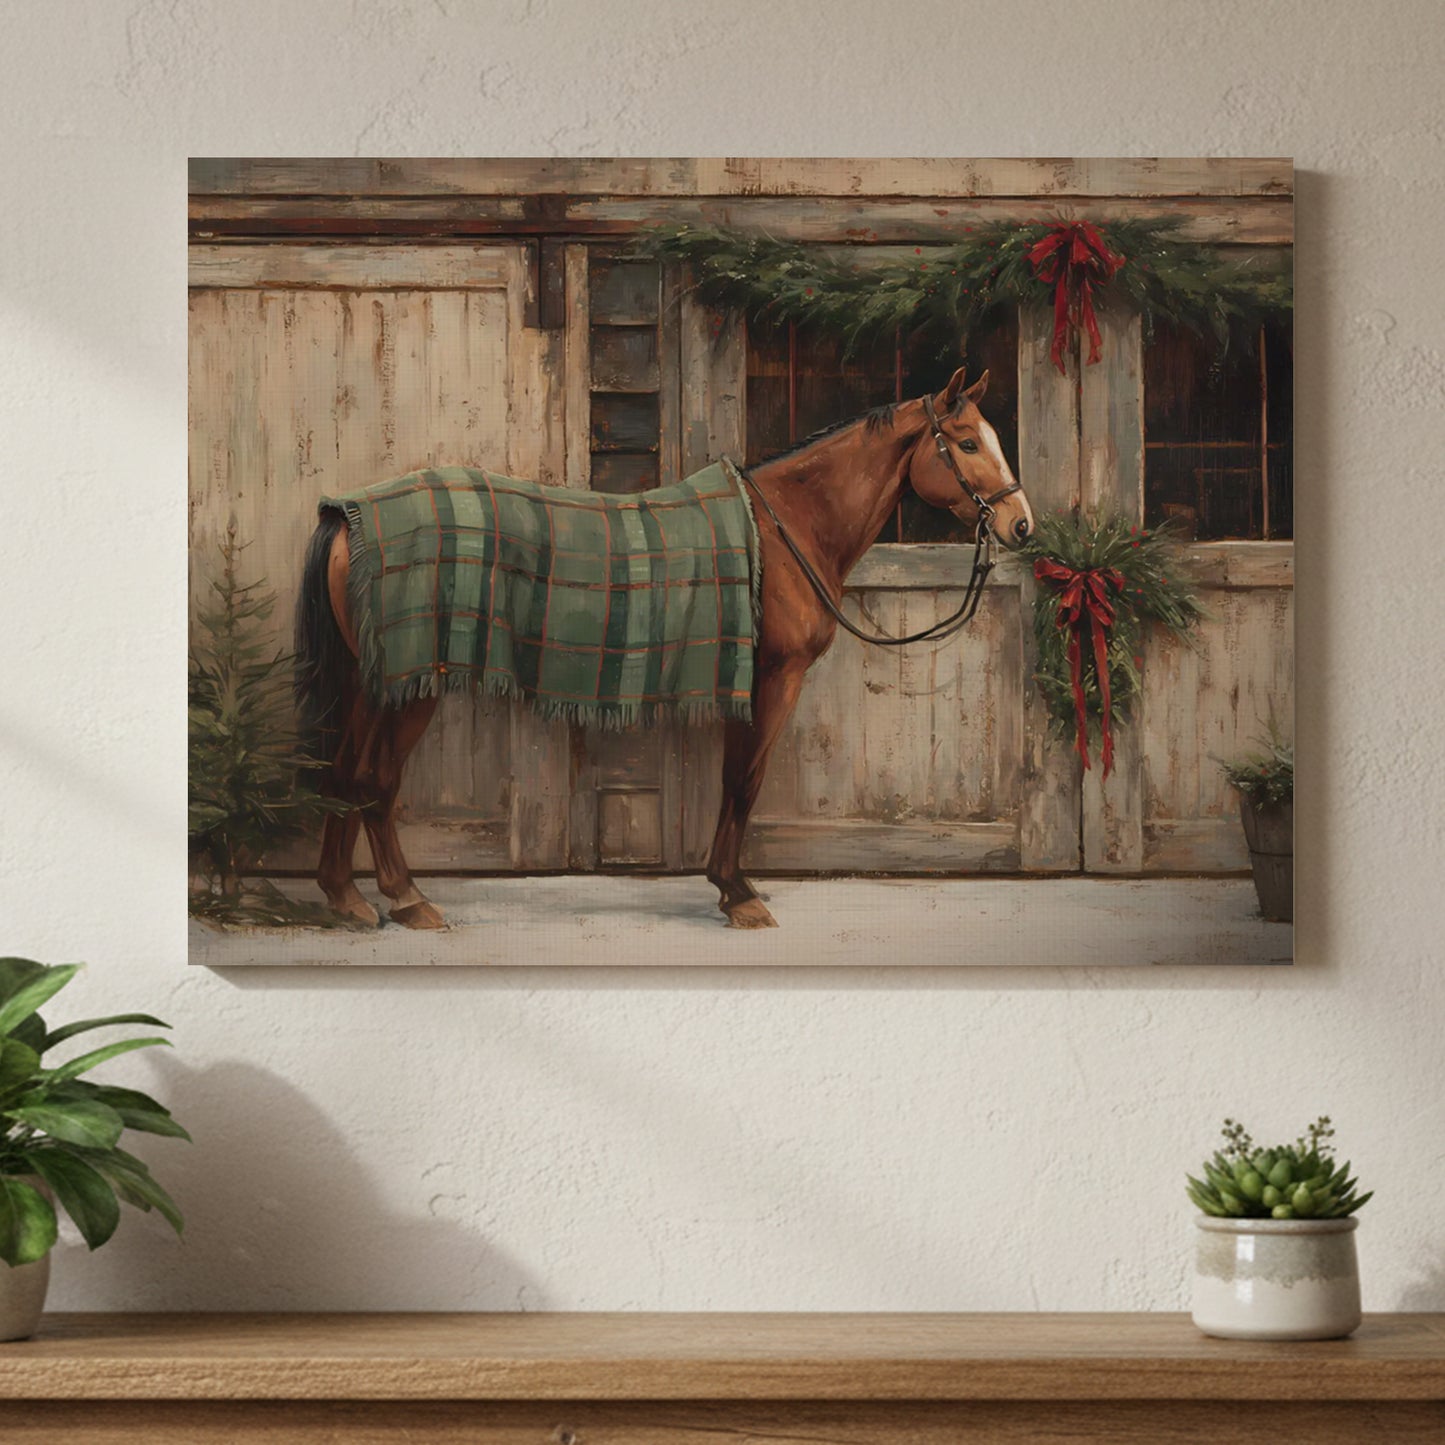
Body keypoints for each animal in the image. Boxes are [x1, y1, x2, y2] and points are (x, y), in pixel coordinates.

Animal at [294, 366, 1033, 931]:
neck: (782, 530)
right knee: (375, 779)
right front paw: (737, 894)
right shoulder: (771, 678)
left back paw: (349, 896)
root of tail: (347, 515)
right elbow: (744, 780)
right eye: (968, 442)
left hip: (369, 679)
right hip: (404, 683)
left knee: (346, 773)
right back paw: (404, 899)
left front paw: (730, 886)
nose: (1020, 524)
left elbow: (738, 780)